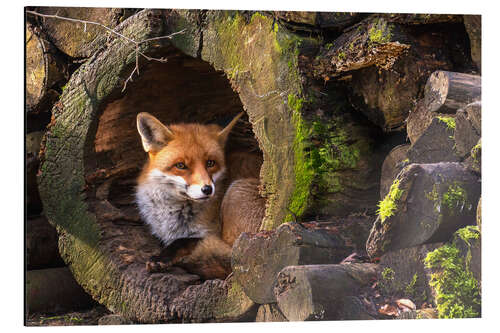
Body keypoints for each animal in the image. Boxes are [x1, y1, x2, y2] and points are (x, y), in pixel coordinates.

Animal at [133, 111, 266, 278]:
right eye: (181, 165)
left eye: (210, 163)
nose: (207, 189)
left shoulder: (208, 232)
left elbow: (182, 241)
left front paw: (161, 257)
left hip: (236, 193)